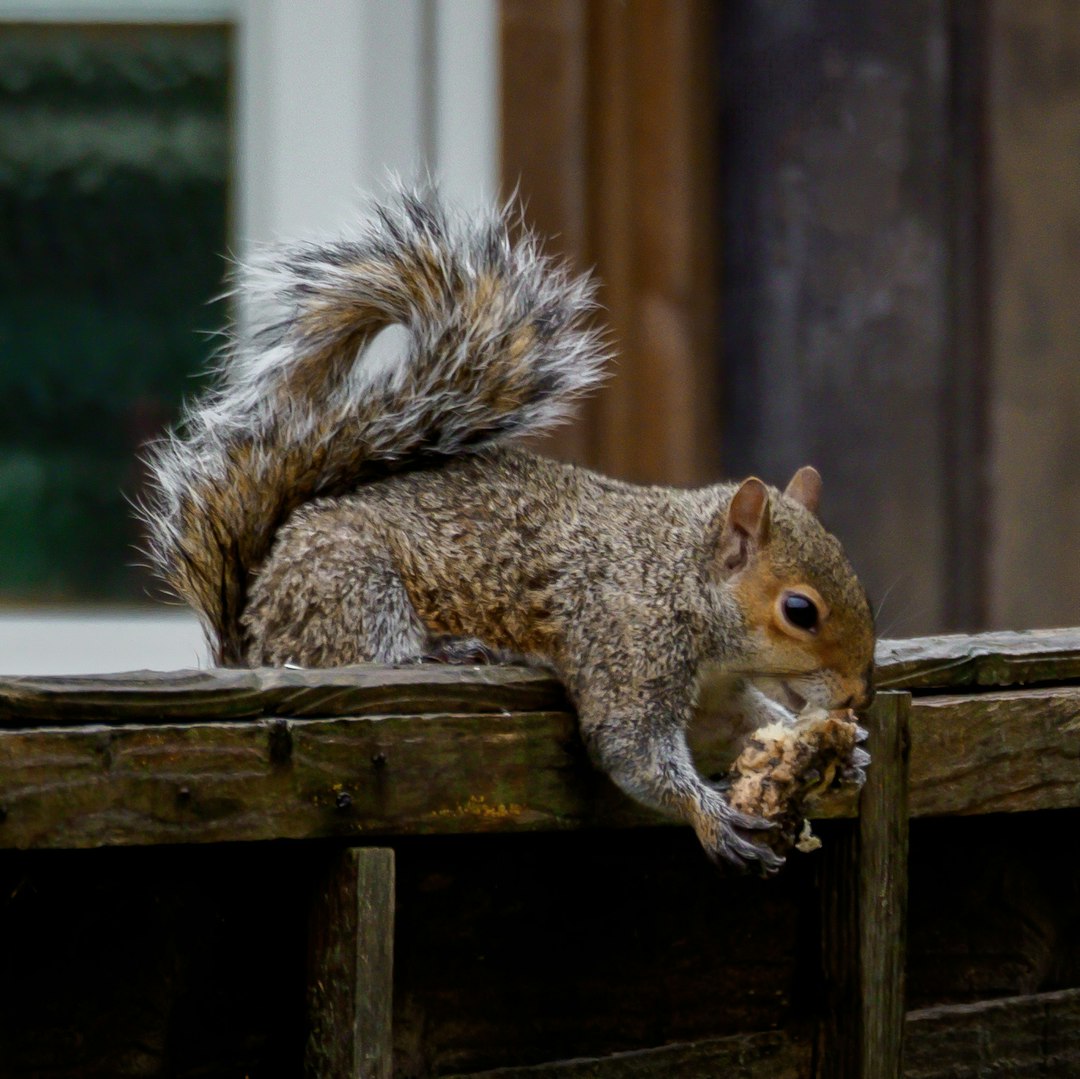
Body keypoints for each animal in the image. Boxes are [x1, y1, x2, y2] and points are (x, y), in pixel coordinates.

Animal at [139, 187, 872, 868]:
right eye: (800, 611)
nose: (859, 694)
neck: (680, 575)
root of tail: (253, 625)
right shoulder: (629, 640)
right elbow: (631, 748)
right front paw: (712, 817)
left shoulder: (716, 687)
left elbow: (736, 719)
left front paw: (843, 749)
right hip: (350, 582)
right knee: (368, 649)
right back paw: (443, 652)